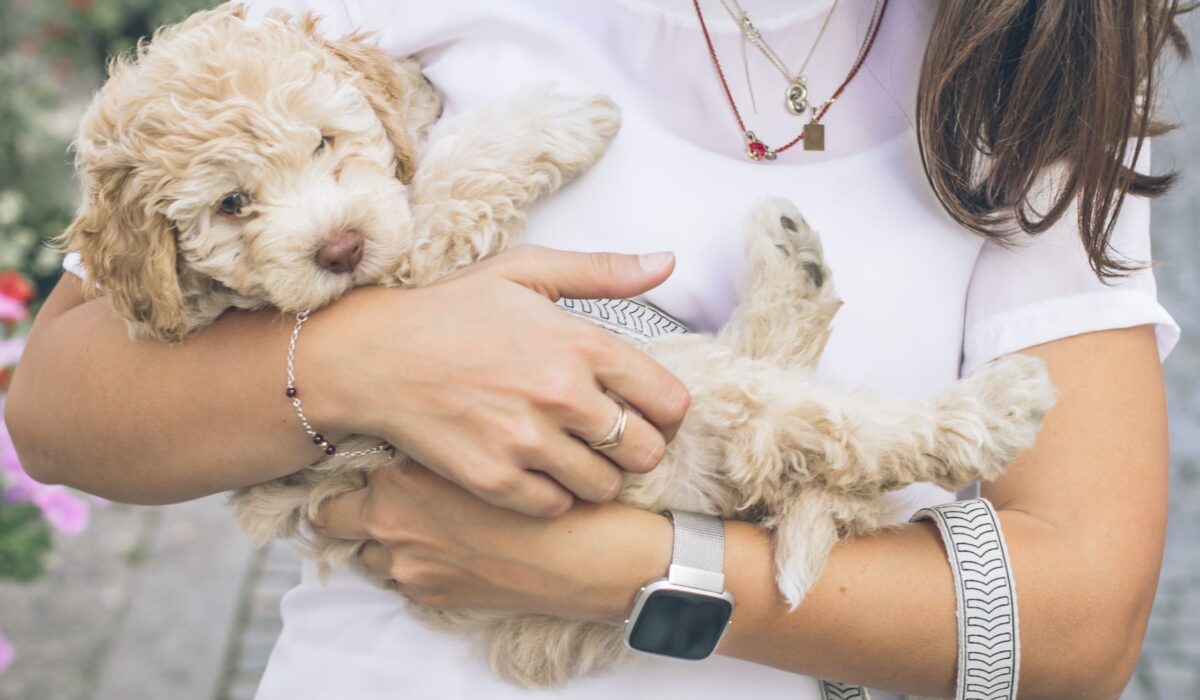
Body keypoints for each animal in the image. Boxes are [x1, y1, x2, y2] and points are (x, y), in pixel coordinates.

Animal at [63, 1, 1060, 691]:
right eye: (232, 204)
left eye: (324, 141)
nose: (338, 246)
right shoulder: (417, 278)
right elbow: (450, 183)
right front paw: (561, 116)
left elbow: (418, 155)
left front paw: (412, 94)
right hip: (710, 405)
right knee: (838, 431)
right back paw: (995, 403)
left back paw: (797, 263)